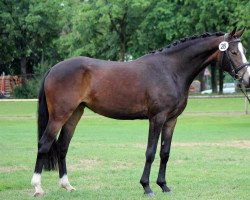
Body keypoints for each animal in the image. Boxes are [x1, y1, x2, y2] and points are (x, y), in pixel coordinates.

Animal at [31, 28, 250, 197]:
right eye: (232, 51)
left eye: (243, 50)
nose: (247, 79)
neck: (170, 70)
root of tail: (53, 69)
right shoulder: (157, 118)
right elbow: (150, 152)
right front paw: (147, 187)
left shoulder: (171, 120)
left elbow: (165, 153)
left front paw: (164, 186)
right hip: (59, 116)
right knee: (44, 145)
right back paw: (37, 188)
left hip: (74, 114)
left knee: (62, 147)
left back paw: (67, 185)